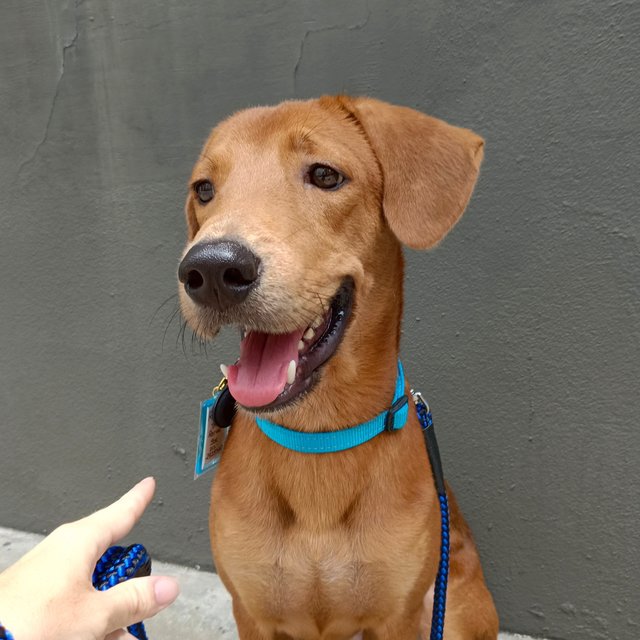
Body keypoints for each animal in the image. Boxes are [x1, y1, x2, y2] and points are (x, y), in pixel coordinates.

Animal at [178, 96, 498, 640]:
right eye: (205, 189)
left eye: (325, 175)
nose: (213, 268)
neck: (318, 437)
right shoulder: (252, 611)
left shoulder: (399, 615)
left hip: (457, 608)